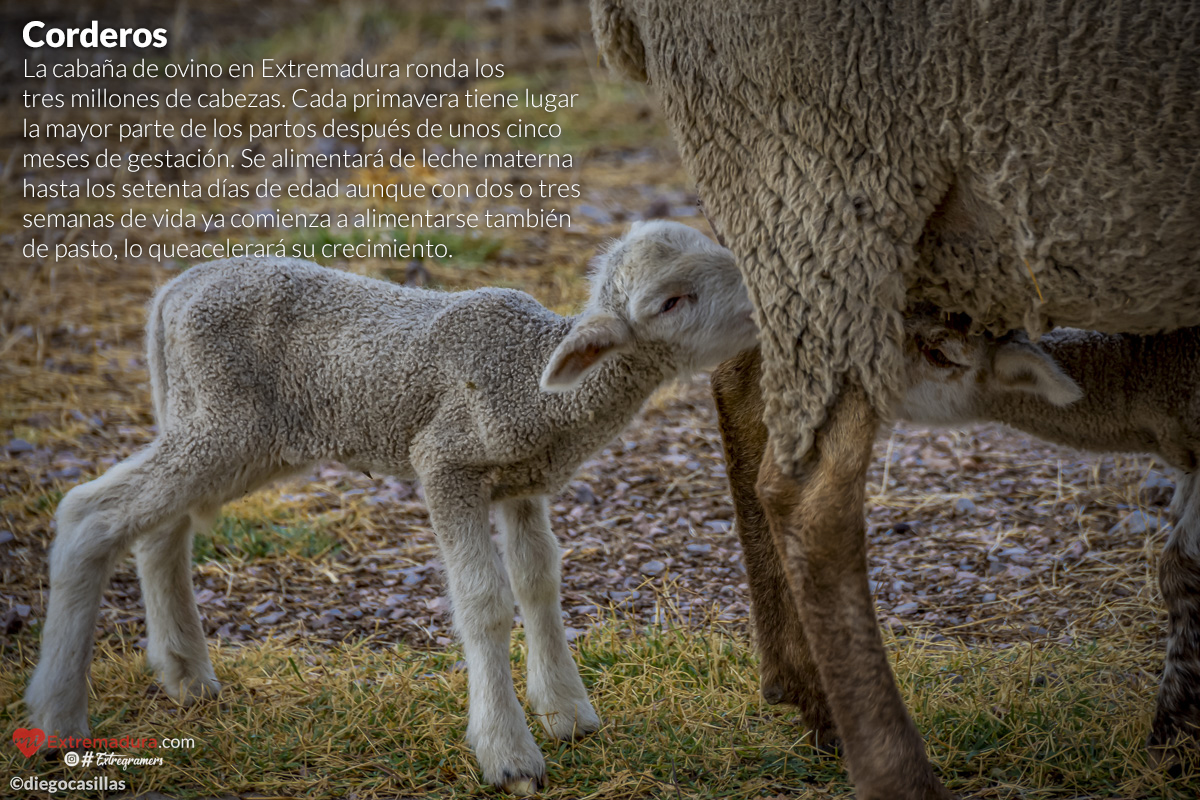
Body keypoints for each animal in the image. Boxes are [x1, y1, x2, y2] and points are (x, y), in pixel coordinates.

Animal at [25, 220, 758, 796]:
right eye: (672, 301)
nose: (760, 317)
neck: (536, 383)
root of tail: (172, 292)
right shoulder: (446, 463)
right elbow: (486, 601)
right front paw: (510, 754)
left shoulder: (522, 481)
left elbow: (539, 581)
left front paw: (567, 713)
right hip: (223, 422)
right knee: (90, 515)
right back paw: (58, 720)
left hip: (216, 427)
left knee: (158, 528)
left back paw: (184, 674)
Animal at [590, 1, 1200, 800]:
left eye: (944, 346)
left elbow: (1182, 566)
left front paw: (1176, 737)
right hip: (822, 179)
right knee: (811, 496)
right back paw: (894, 770)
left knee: (747, 381)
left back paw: (808, 698)